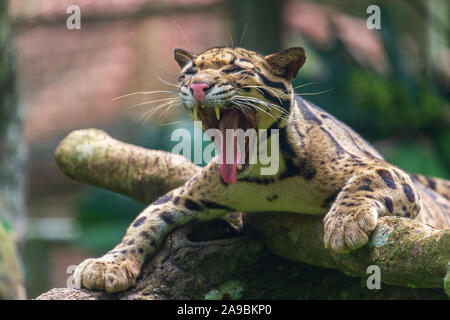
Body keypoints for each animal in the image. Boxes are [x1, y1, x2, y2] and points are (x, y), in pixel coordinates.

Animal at [74, 45, 450, 292]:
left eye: (233, 70)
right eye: (189, 72)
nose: (197, 86)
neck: (268, 173)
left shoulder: (390, 172)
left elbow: (368, 180)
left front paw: (344, 223)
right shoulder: (184, 195)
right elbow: (142, 223)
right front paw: (107, 264)